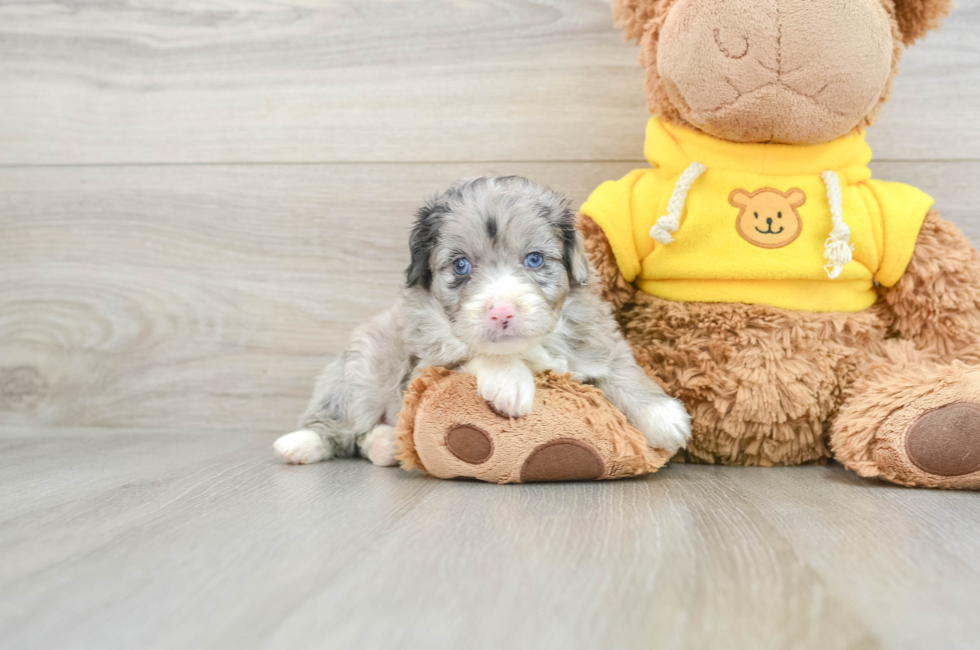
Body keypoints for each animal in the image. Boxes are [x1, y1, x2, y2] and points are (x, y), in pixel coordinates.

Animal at [272, 175, 692, 464]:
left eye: (534, 259)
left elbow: (623, 371)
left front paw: (664, 417)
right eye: (461, 265)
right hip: (359, 374)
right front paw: (511, 383)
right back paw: (302, 443)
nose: (501, 310)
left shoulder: (599, 339)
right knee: (341, 426)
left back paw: (386, 444)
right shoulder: (424, 365)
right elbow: (472, 353)